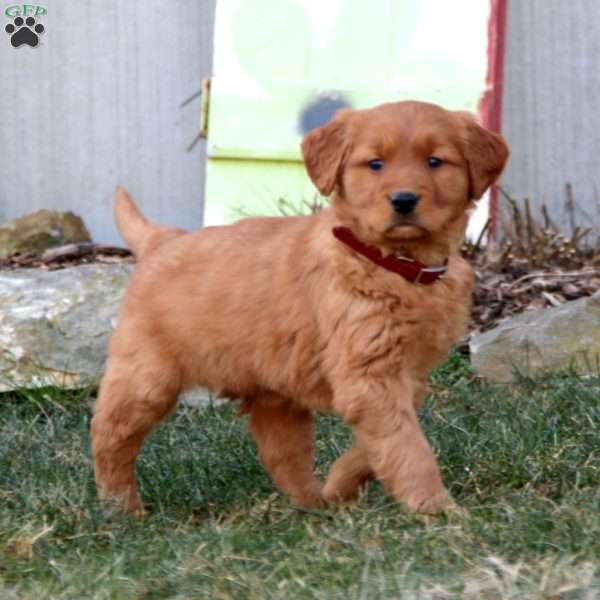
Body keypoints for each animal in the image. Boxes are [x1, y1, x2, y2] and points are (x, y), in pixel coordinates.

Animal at [91, 101, 508, 512]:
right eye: (375, 164)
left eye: (434, 161)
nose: (403, 200)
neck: (393, 263)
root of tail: (161, 241)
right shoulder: (369, 375)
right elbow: (408, 448)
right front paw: (437, 509)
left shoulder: (406, 375)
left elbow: (382, 443)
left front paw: (341, 482)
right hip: (145, 377)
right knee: (108, 434)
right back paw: (120, 506)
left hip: (274, 392)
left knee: (281, 453)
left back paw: (315, 503)